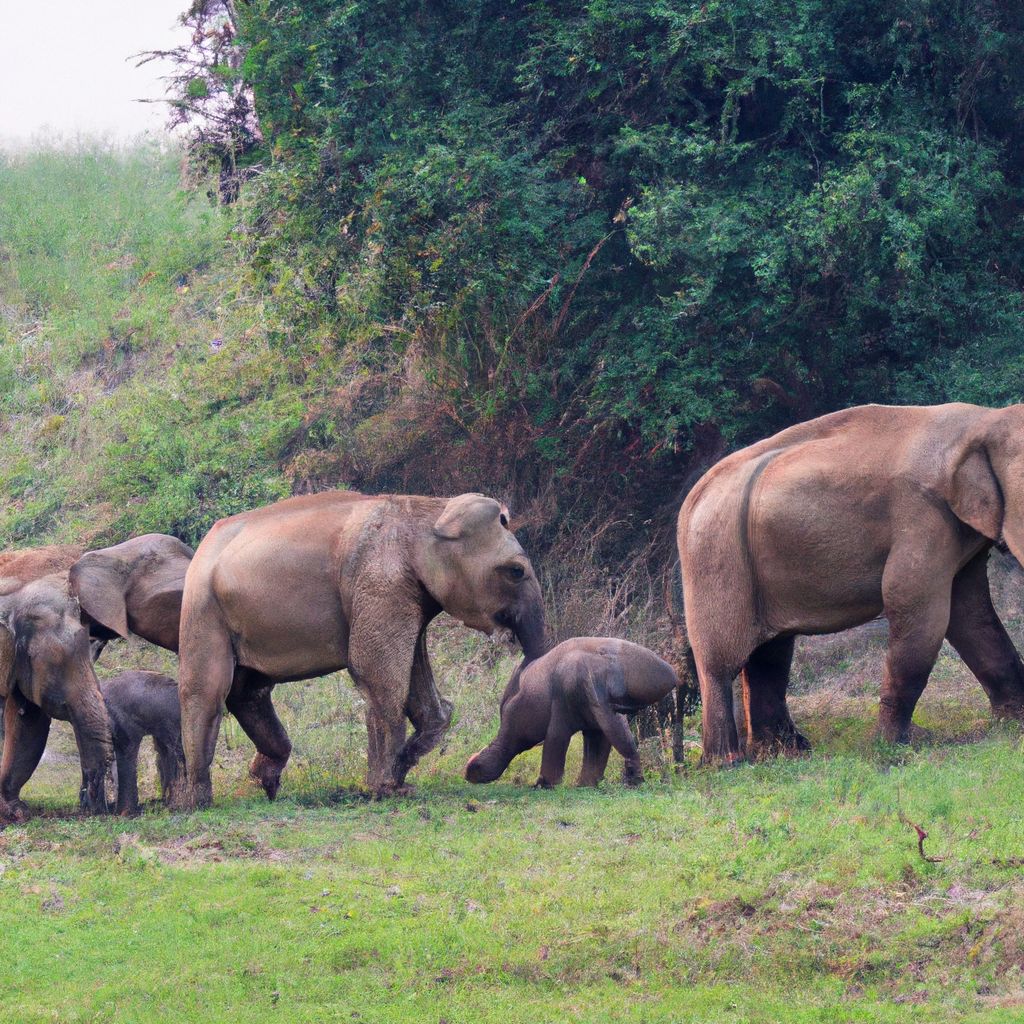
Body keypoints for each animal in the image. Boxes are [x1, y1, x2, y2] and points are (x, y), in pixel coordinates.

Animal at [176, 489, 548, 806]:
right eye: (516, 571)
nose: (472, 768)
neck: (429, 510)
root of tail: (203, 546)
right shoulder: (382, 583)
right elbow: (375, 671)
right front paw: (390, 789)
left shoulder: (405, 593)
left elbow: (418, 680)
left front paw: (401, 772)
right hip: (203, 609)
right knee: (208, 691)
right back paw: (197, 803)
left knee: (250, 691)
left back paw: (266, 783)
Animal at [464, 634, 679, 786]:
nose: (468, 773)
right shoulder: (591, 722)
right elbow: (592, 750)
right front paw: (585, 784)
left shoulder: (573, 713)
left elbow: (557, 744)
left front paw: (546, 784)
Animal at [675, 403, 1024, 765]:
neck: (985, 420)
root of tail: (690, 501)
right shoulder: (922, 516)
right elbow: (915, 607)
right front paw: (890, 746)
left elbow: (970, 615)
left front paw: (1013, 725)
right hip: (716, 554)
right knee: (721, 663)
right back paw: (727, 763)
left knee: (770, 655)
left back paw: (785, 753)